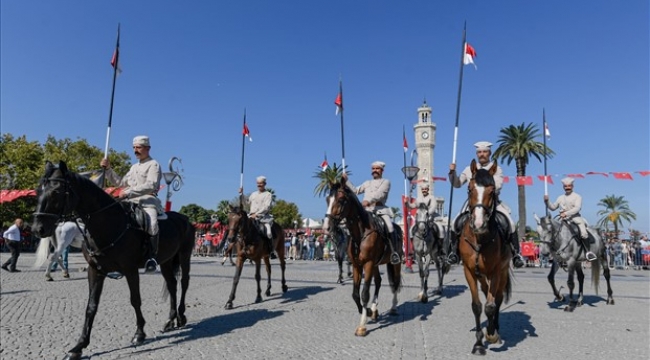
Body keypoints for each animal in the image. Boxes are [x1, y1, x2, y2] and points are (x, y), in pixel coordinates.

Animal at [32, 161, 195, 360]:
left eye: (56, 191)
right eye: (38, 190)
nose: (37, 228)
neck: (108, 225)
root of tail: (184, 218)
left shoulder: (130, 270)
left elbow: (135, 300)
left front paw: (139, 334)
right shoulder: (95, 270)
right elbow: (91, 306)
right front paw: (79, 346)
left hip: (184, 256)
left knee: (184, 283)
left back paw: (181, 316)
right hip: (166, 261)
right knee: (172, 284)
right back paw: (170, 320)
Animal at [322, 178, 402, 338]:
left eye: (341, 200)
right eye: (328, 199)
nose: (326, 228)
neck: (360, 233)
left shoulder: (368, 264)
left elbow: (364, 293)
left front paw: (362, 326)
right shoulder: (357, 265)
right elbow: (355, 294)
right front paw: (368, 311)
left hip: (395, 263)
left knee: (395, 283)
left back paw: (393, 307)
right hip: (376, 264)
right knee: (378, 282)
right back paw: (374, 310)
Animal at [456, 160, 512, 354]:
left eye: (492, 190)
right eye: (469, 189)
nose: (479, 223)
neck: (480, 238)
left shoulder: (496, 272)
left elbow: (490, 306)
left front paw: (491, 334)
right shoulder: (469, 271)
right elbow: (477, 306)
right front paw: (479, 343)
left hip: (503, 272)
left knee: (498, 298)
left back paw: (496, 328)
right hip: (481, 275)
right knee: (486, 290)